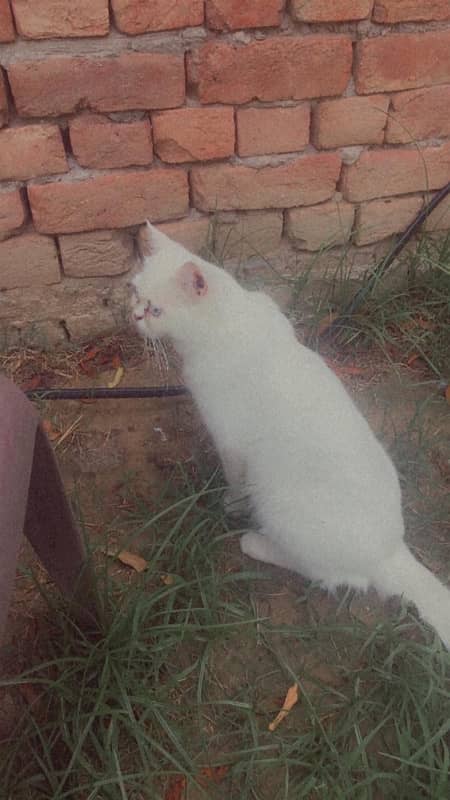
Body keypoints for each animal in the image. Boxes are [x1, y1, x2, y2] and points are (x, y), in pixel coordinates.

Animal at [131, 220, 450, 648]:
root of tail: (391, 550)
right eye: (135, 292)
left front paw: (230, 506)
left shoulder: (232, 442)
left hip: (279, 500)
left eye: (156, 309)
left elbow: (234, 482)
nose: (134, 315)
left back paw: (255, 542)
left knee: (331, 574)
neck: (228, 324)